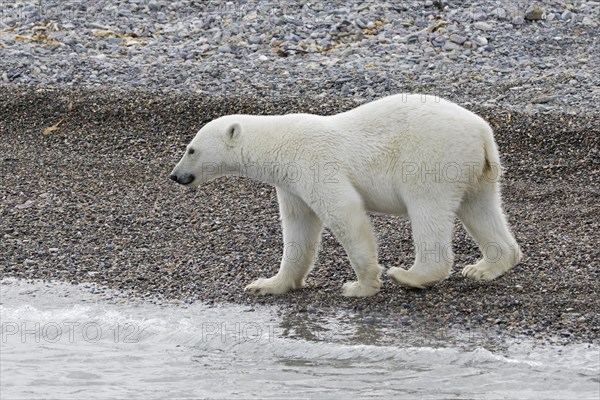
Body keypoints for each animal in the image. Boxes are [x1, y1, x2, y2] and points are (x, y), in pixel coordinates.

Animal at [169, 94, 520, 296]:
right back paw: (485, 267)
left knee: (427, 209)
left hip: (432, 158)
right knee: (482, 209)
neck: (280, 142)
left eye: (191, 149)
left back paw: (410, 275)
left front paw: (361, 285)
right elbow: (299, 227)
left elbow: (345, 213)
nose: (176, 176)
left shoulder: (314, 164)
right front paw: (268, 284)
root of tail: (483, 133)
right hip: (476, 172)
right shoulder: (291, 183)